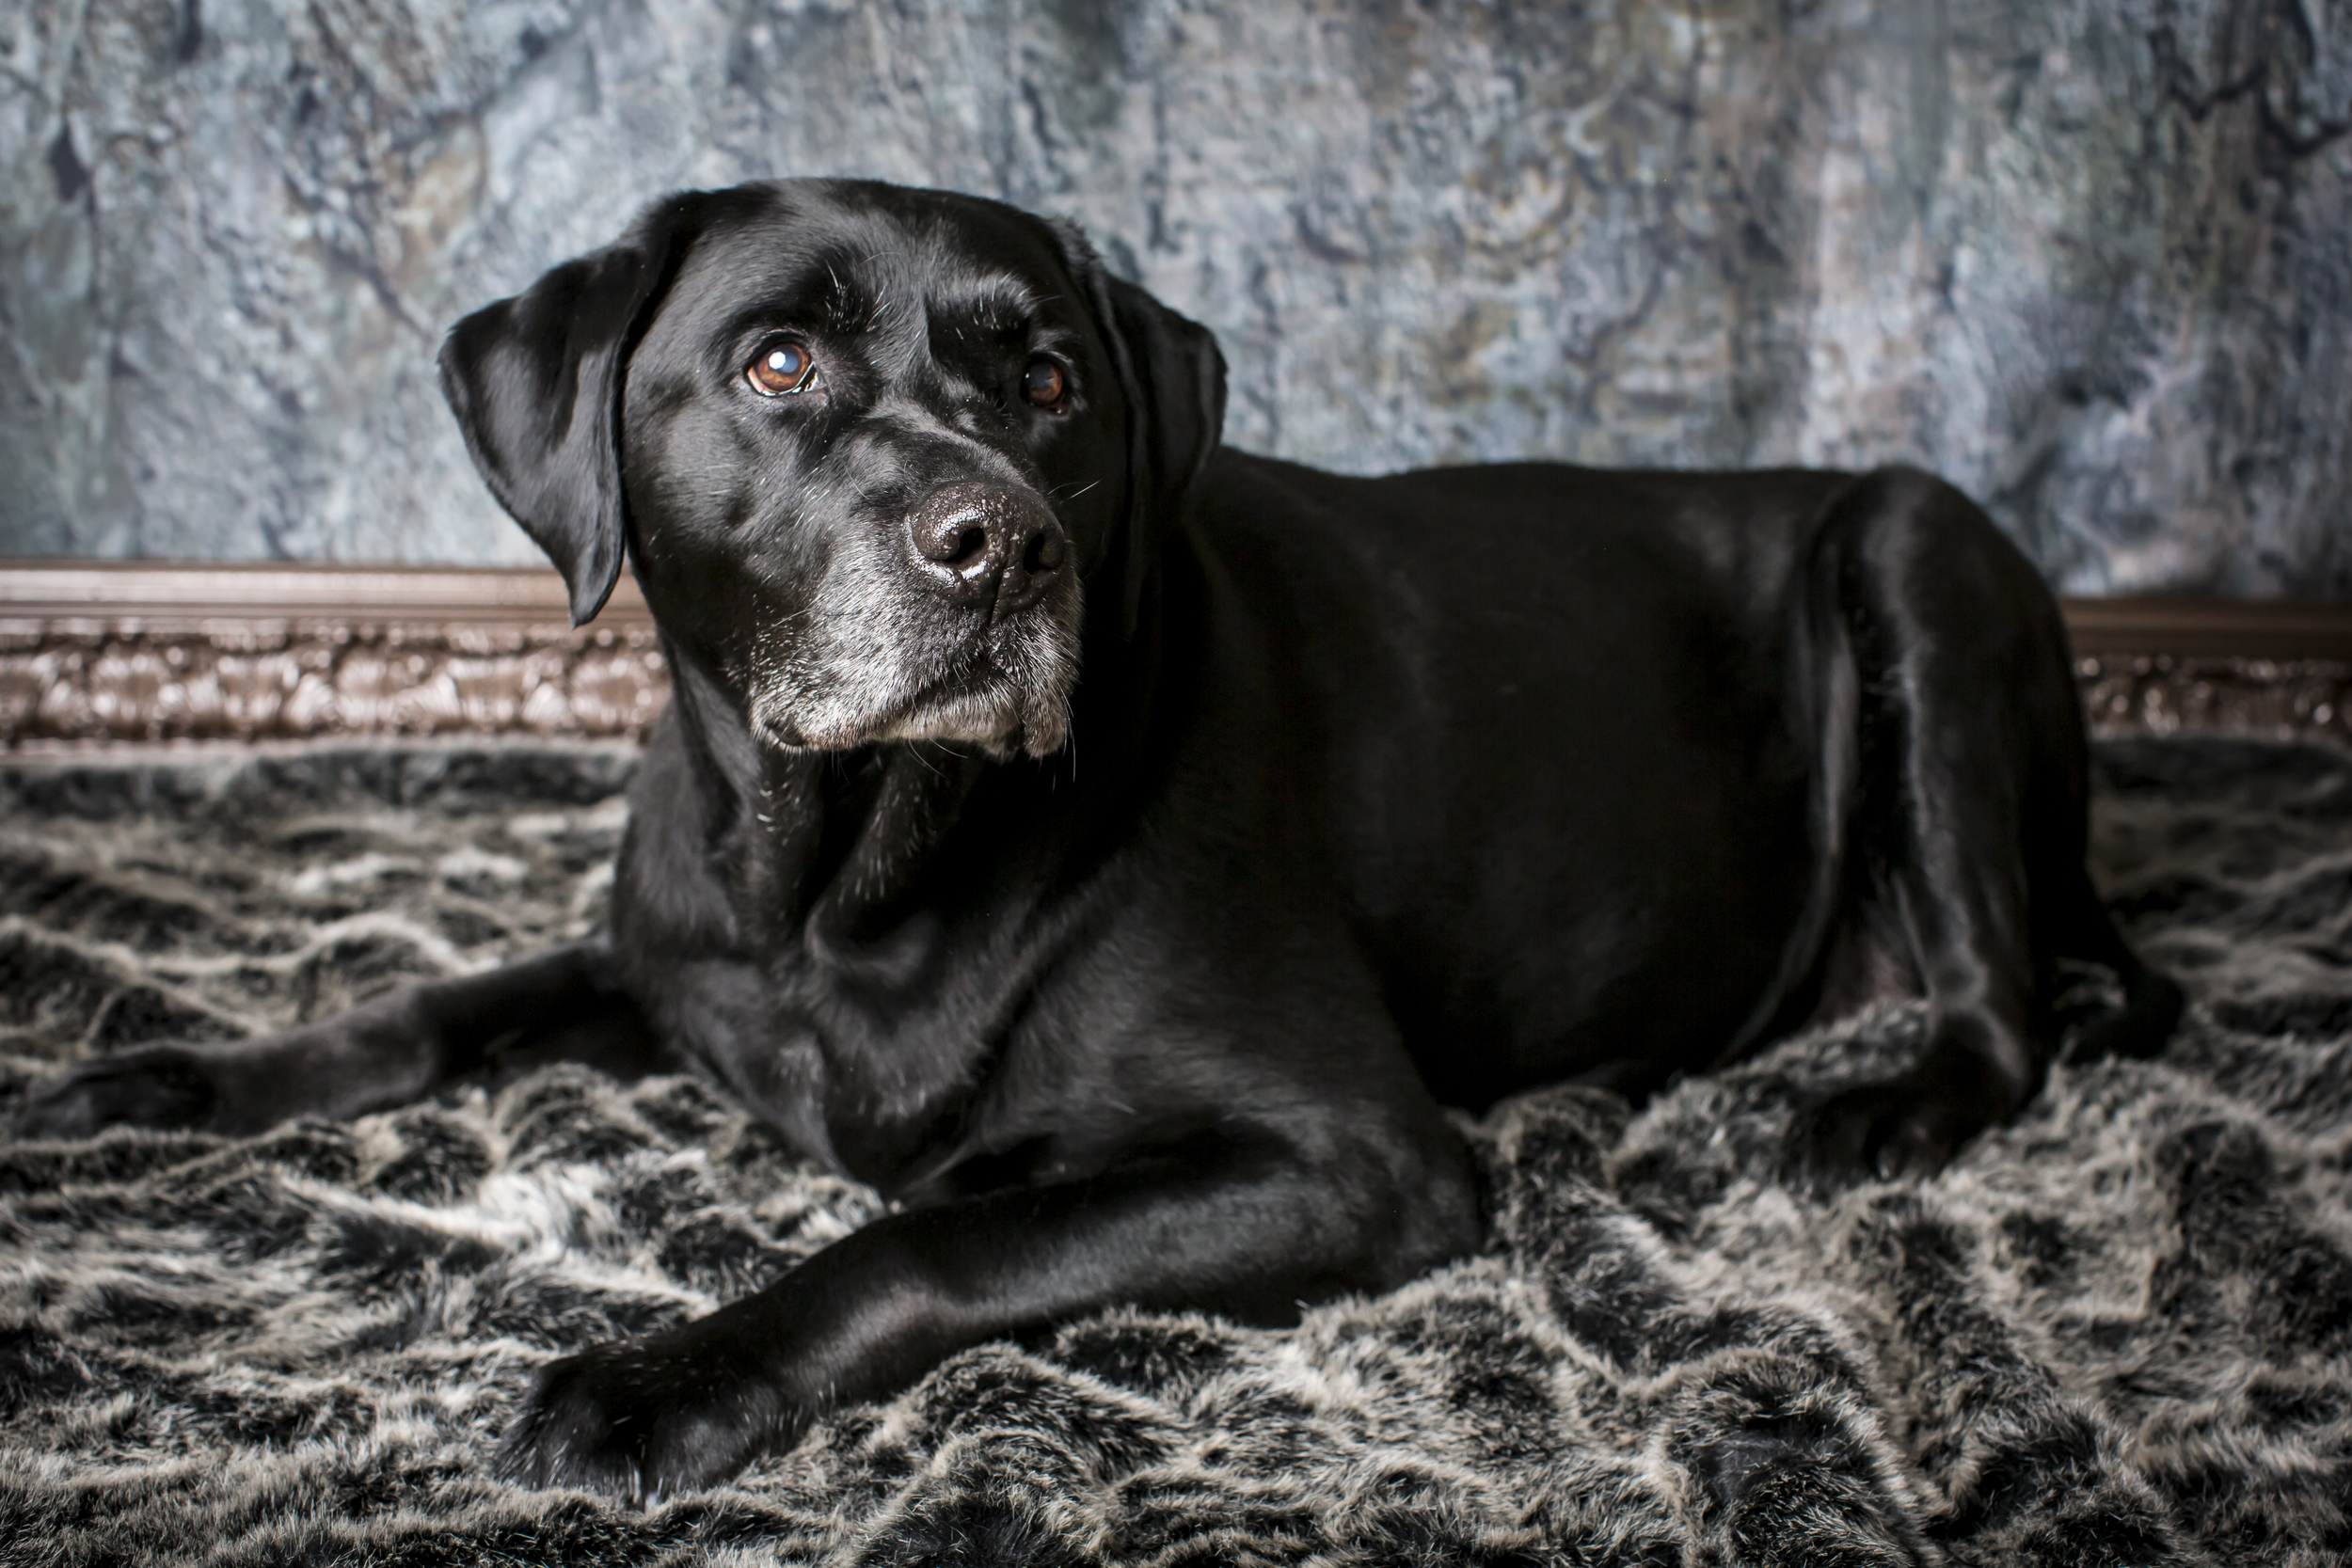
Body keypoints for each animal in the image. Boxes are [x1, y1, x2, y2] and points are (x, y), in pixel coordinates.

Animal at [23, 177, 2183, 1504]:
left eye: (1050, 379)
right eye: (777, 365)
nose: (999, 543)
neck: (847, 871)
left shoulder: (1358, 1155)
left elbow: (925, 1228)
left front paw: (660, 1376)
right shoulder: (670, 958)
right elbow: (440, 1003)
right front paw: (180, 1073)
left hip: (1916, 549)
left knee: (2007, 1004)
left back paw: (1873, 1105)